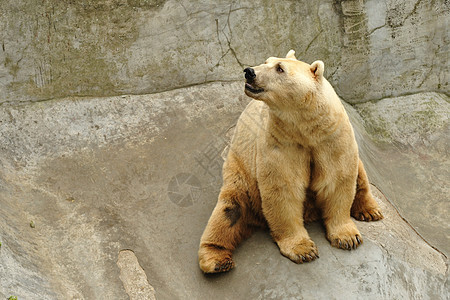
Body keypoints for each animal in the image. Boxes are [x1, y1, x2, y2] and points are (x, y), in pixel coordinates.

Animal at [198, 50, 384, 274]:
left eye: (280, 68)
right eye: (266, 61)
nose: (249, 72)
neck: (305, 128)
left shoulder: (331, 139)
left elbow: (337, 181)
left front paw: (347, 238)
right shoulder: (282, 142)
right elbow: (283, 189)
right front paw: (304, 250)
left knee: (360, 174)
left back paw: (370, 210)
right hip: (241, 174)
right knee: (228, 211)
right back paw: (217, 261)